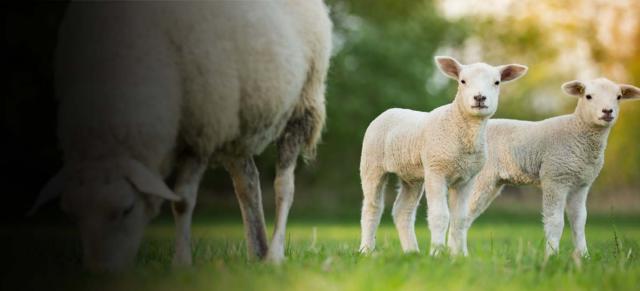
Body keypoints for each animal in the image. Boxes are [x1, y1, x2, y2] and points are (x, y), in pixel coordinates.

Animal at [28, 0, 332, 272]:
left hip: (302, 105)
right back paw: (257, 252)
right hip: (235, 123)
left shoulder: (201, 131)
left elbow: (182, 201)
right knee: (248, 186)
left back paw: (274, 255)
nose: (99, 273)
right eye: (71, 214)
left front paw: (181, 263)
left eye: (127, 209)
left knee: (284, 186)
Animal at [358, 56, 528, 256]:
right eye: (462, 81)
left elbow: (460, 218)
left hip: (411, 175)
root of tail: (389, 110)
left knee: (402, 211)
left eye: (497, 82)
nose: (479, 98)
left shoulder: (467, 179)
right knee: (372, 208)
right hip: (372, 163)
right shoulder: (436, 171)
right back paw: (366, 250)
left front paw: (459, 256)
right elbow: (440, 216)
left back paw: (412, 252)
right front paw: (437, 253)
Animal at [456, 77, 640, 258]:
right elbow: (555, 221)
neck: (578, 131)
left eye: (618, 97)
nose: (607, 111)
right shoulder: (555, 177)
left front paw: (584, 256)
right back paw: (456, 254)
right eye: (588, 96)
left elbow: (579, 221)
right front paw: (552, 255)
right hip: (480, 178)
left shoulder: (581, 184)